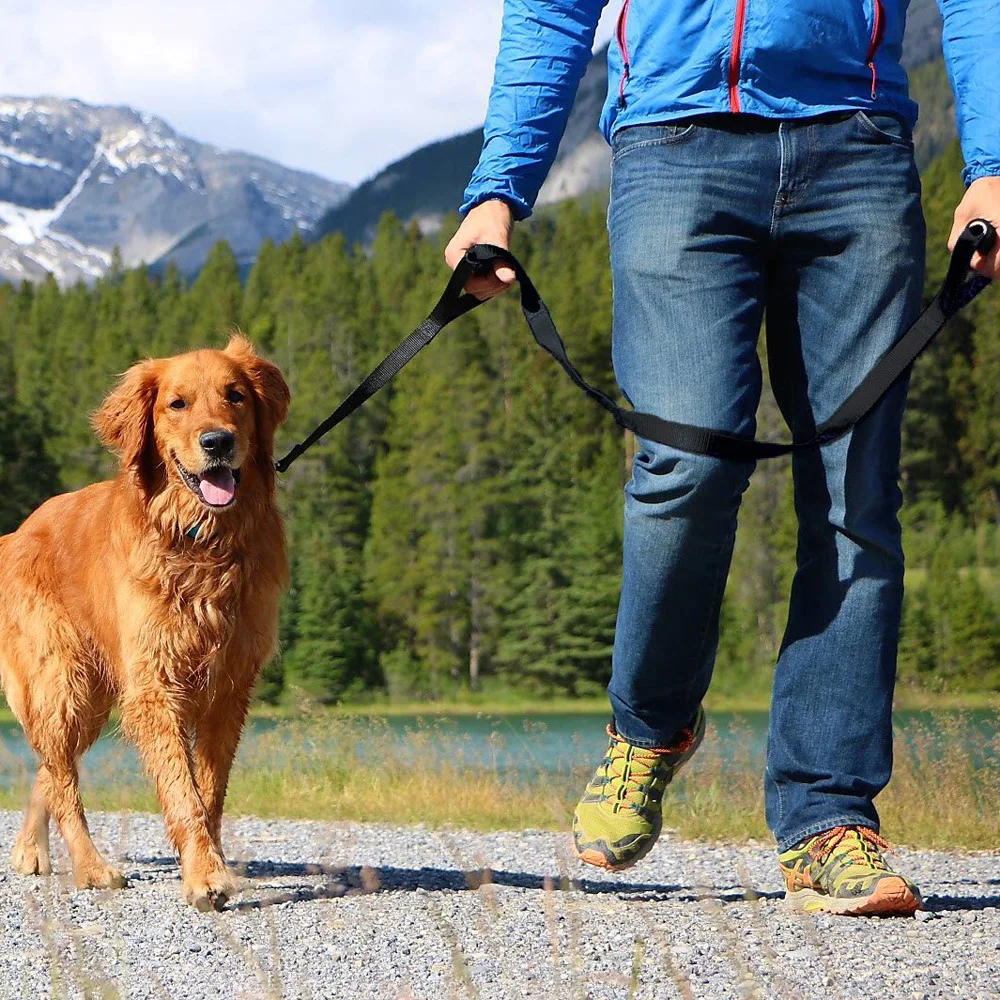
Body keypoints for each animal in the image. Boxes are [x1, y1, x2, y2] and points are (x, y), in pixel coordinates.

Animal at [0, 334, 290, 908]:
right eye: (177, 403)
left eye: (235, 395)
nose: (218, 441)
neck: (199, 541)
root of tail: (14, 534)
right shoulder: (154, 683)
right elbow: (183, 790)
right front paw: (205, 876)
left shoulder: (230, 684)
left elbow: (209, 788)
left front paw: (208, 862)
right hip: (63, 680)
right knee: (62, 777)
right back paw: (92, 868)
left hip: (92, 697)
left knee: (50, 767)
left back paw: (30, 850)